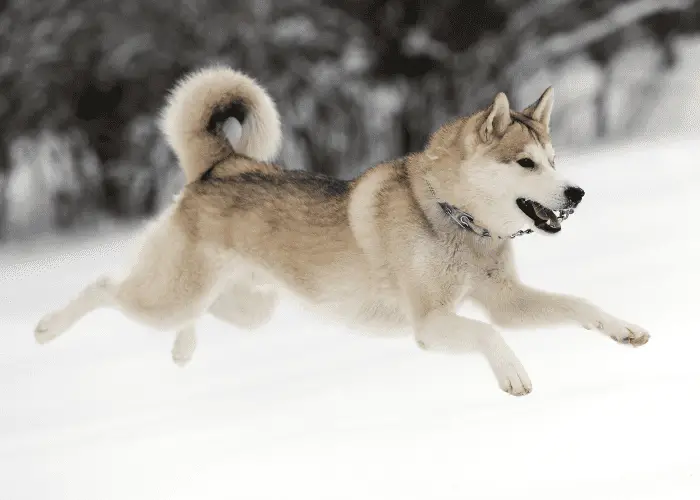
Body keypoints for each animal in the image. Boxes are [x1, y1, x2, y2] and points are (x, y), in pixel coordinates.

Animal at [35, 65, 652, 394]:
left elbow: (577, 304)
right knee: (105, 289)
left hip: (249, 307)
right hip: (171, 295)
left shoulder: (505, 300)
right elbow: (488, 335)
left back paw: (182, 352)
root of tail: (223, 165)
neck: (453, 218)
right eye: (525, 164)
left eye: (554, 160)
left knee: (197, 316)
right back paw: (45, 328)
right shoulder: (430, 324)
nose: (575, 193)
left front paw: (624, 330)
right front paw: (513, 374)